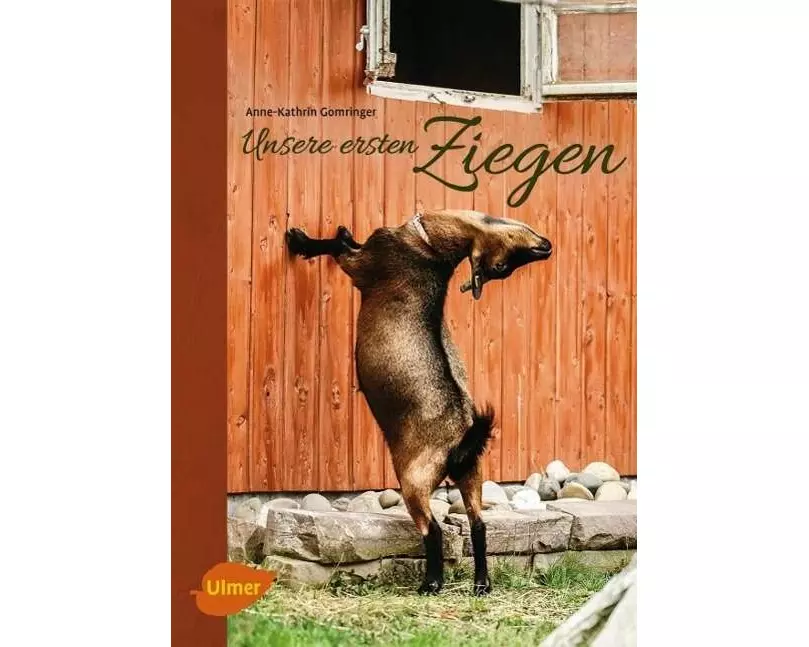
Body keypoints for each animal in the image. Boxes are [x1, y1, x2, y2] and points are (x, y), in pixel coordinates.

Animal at [285, 209, 552, 595]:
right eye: (504, 265)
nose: (546, 248)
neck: (430, 248)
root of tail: (461, 440)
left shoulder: (363, 264)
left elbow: (338, 248)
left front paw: (301, 240)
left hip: (414, 478)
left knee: (433, 529)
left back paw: (432, 583)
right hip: (472, 474)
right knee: (479, 524)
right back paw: (481, 584)